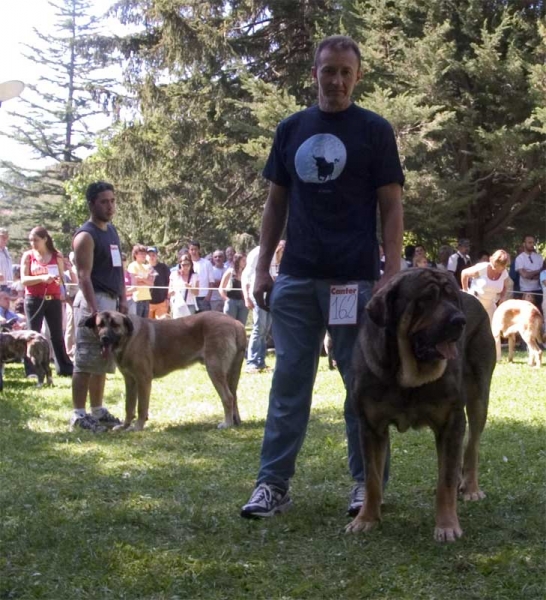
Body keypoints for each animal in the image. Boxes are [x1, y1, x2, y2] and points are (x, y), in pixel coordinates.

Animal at [85, 310, 246, 432]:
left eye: (115, 325)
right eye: (100, 325)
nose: (104, 338)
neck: (128, 339)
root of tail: (235, 322)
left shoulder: (143, 380)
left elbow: (141, 407)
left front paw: (137, 427)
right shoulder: (130, 381)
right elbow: (129, 406)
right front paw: (125, 426)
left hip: (214, 369)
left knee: (228, 397)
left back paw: (227, 423)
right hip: (231, 374)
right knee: (234, 396)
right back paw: (235, 421)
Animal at [346, 270, 496, 540]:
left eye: (452, 298)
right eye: (426, 299)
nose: (460, 320)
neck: (406, 376)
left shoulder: (451, 423)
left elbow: (445, 480)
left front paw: (447, 525)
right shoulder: (370, 427)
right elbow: (372, 478)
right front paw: (366, 519)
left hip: (479, 397)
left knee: (472, 446)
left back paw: (470, 487)